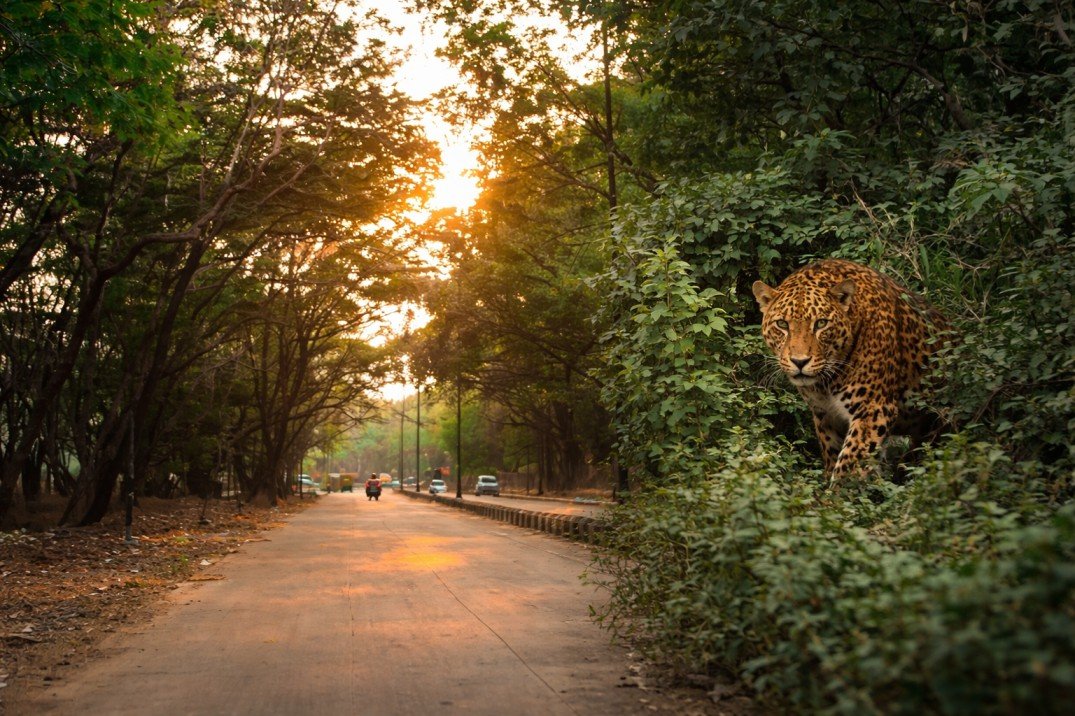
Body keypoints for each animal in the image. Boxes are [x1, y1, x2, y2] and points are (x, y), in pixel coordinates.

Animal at [751, 259, 946, 483]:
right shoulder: (825, 414)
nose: (800, 361)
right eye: (782, 324)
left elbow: (848, 466)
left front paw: (837, 492)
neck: (825, 384)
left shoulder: (874, 410)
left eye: (821, 323)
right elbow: (832, 454)